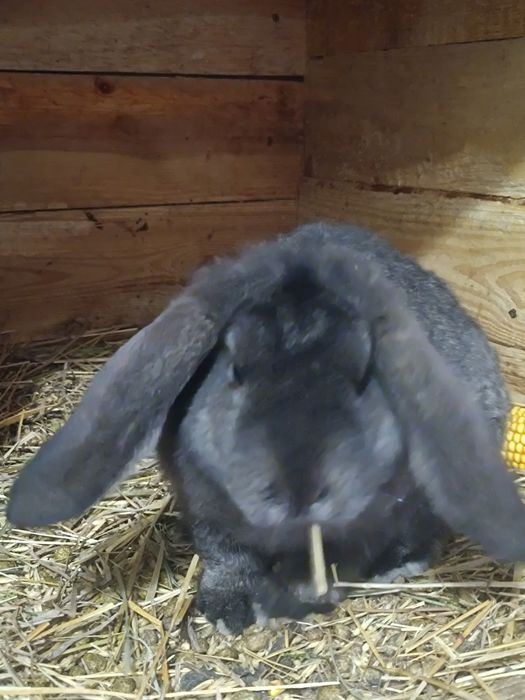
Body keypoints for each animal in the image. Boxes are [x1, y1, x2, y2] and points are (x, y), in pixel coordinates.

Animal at [7, 221, 525, 636]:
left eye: (364, 369)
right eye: (234, 364)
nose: (299, 492)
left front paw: (297, 593)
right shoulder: (208, 509)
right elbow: (226, 557)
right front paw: (228, 610)